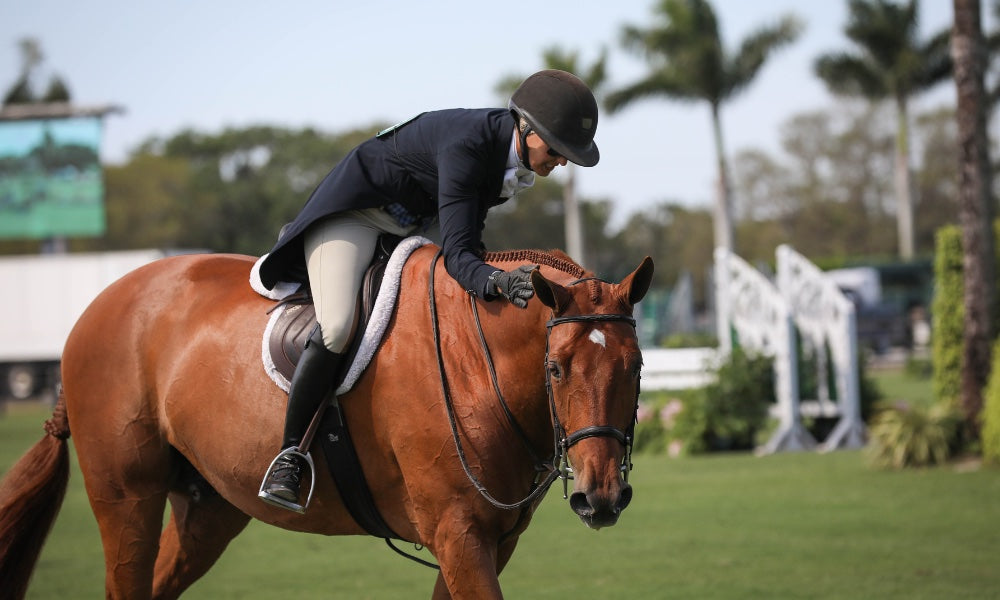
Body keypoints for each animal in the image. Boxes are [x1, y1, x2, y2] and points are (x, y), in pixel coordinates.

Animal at [0, 245, 652, 600]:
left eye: (636, 365)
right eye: (556, 368)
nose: (601, 497)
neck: (474, 358)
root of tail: (96, 309)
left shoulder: (484, 541)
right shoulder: (458, 533)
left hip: (208, 509)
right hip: (126, 498)